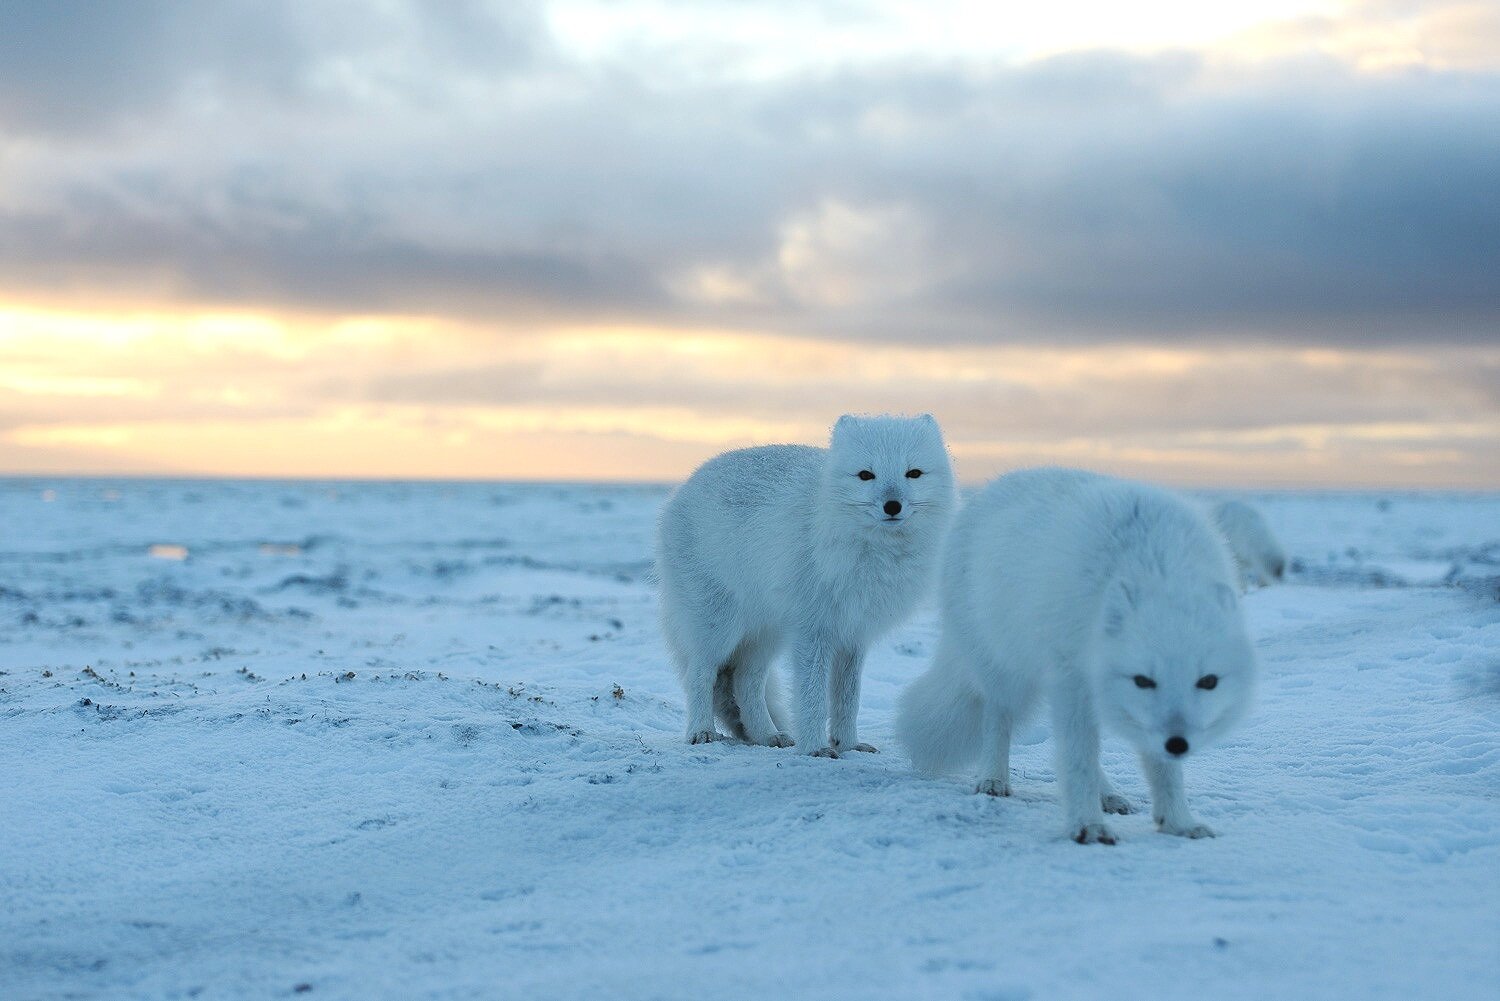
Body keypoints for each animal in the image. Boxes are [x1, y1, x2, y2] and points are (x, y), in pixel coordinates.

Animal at [660, 420, 960, 756]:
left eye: (914, 473)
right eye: (866, 475)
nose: (892, 505)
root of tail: (682, 489)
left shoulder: (853, 633)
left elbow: (848, 699)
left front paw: (848, 744)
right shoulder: (813, 629)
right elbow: (812, 696)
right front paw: (816, 748)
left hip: (767, 632)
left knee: (746, 681)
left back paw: (767, 736)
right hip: (718, 626)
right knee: (699, 673)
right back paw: (701, 731)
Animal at [894, 471, 1260, 846]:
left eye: (1208, 681)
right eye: (1143, 680)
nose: (1177, 743)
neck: (1156, 569)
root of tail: (994, 485)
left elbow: (1162, 770)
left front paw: (1178, 822)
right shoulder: (1072, 679)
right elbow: (1077, 758)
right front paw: (1088, 825)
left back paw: (1109, 795)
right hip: (1004, 669)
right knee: (998, 718)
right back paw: (994, 779)